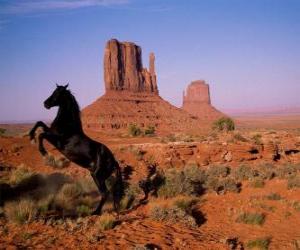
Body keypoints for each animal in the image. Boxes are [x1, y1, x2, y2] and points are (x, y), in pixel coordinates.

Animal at [29, 84, 123, 215]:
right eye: (54, 91)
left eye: (58, 93)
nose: (45, 104)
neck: (68, 126)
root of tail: (114, 161)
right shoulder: (51, 132)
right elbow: (40, 123)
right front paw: (31, 135)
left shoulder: (57, 141)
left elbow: (42, 134)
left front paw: (43, 151)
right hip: (95, 175)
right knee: (106, 193)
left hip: (98, 176)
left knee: (105, 193)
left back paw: (95, 212)